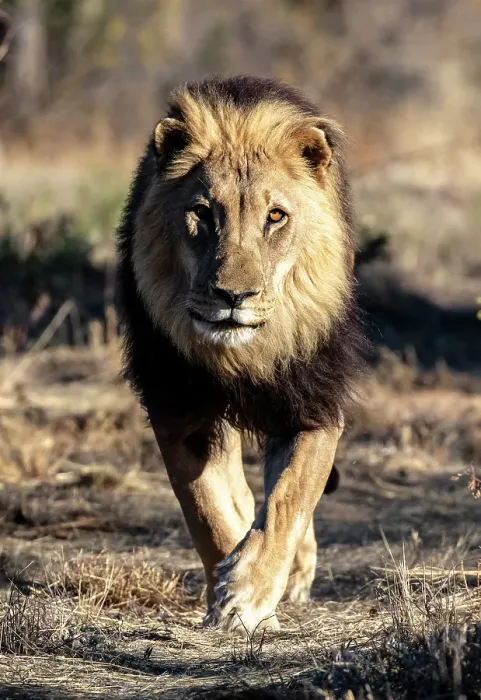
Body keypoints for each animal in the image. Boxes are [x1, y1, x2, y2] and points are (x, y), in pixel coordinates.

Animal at [116, 76, 365, 633]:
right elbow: (207, 507)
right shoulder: (180, 409)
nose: (234, 296)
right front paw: (227, 592)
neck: (242, 356)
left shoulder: (312, 405)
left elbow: (290, 498)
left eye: (275, 217)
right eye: (202, 213)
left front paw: (249, 594)